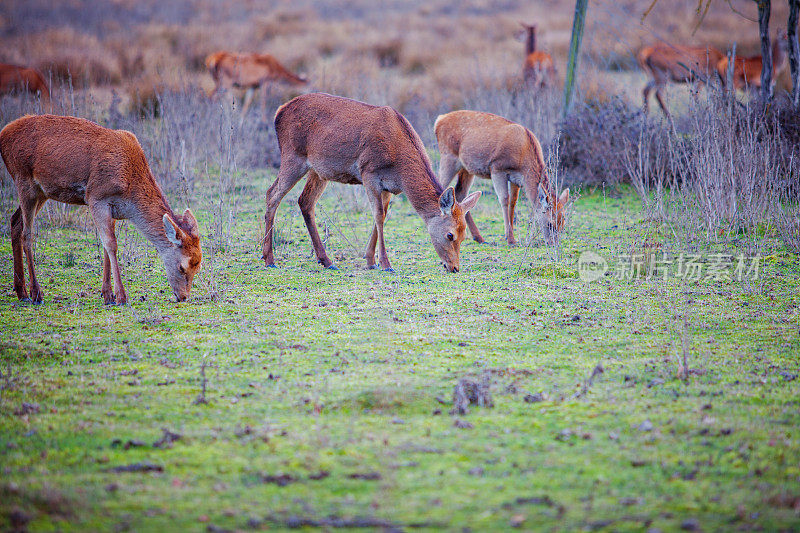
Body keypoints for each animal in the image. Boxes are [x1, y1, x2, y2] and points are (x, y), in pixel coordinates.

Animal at [0, 114, 200, 306]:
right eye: (182, 267)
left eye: (197, 267)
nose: (183, 296)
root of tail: (3, 134)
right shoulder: (96, 197)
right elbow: (111, 244)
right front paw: (121, 297)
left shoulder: (112, 208)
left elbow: (105, 245)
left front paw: (107, 295)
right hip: (23, 179)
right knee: (27, 234)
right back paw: (36, 293)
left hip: (42, 192)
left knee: (15, 222)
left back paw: (21, 292)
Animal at [260, 91, 482, 272]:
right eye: (450, 235)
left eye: (464, 235)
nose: (454, 267)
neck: (399, 167)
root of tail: (279, 112)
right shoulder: (369, 173)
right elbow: (378, 216)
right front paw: (385, 264)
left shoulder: (388, 187)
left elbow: (382, 216)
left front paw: (370, 260)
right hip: (293, 156)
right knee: (272, 193)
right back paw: (269, 258)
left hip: (319, 170)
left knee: (305, 201)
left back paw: (326, 261)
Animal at [438, 111, 568, 248]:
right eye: (549, 223)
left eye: (563, 223)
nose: (554, 244)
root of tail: (439, 119)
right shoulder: (497, 168)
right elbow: (504, 200)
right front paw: (511, 239)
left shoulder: (516, 179)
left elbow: (513, 202)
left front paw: (509, 235)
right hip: (448, 156)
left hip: (467, 168)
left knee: (460, 193)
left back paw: (478, 237)